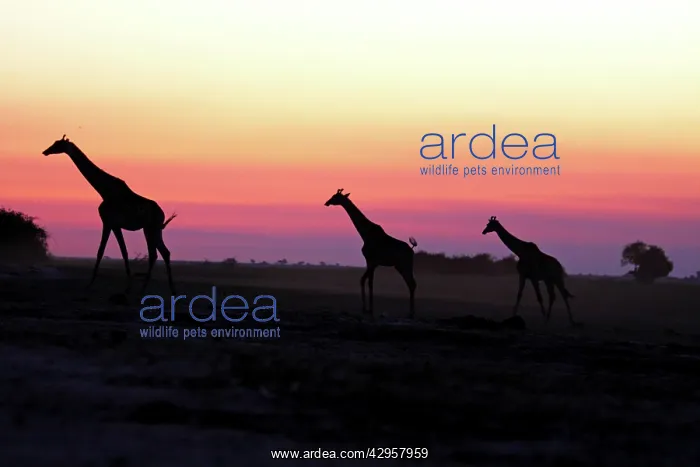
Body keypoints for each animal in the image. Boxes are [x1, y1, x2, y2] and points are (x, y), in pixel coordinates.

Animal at [42, 135, 176, 295]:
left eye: (58, 144)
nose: (45, 151)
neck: (104, 190)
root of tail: (162, 214)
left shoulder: (109, 222)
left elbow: (106, 251)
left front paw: (92, 284)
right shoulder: (113, 224)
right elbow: (120, 252)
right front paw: (126, 286)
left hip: (152, 228)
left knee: (157, 253)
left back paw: (150, 289)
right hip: (150, 229)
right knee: (161, 253)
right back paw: (165, 290)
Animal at [324, 189, 417, 318]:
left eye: (335, 196)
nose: (326, 203)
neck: (365, 234)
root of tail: (412, 250)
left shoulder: (371, 261)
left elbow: (366, 281)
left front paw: (367, 309)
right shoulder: (371, 263)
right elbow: (367, 281)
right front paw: (368, 309)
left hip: (405, 265)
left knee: (412, 284)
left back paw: (411, 313)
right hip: (399, 266)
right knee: (411, 284)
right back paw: (411, 312)